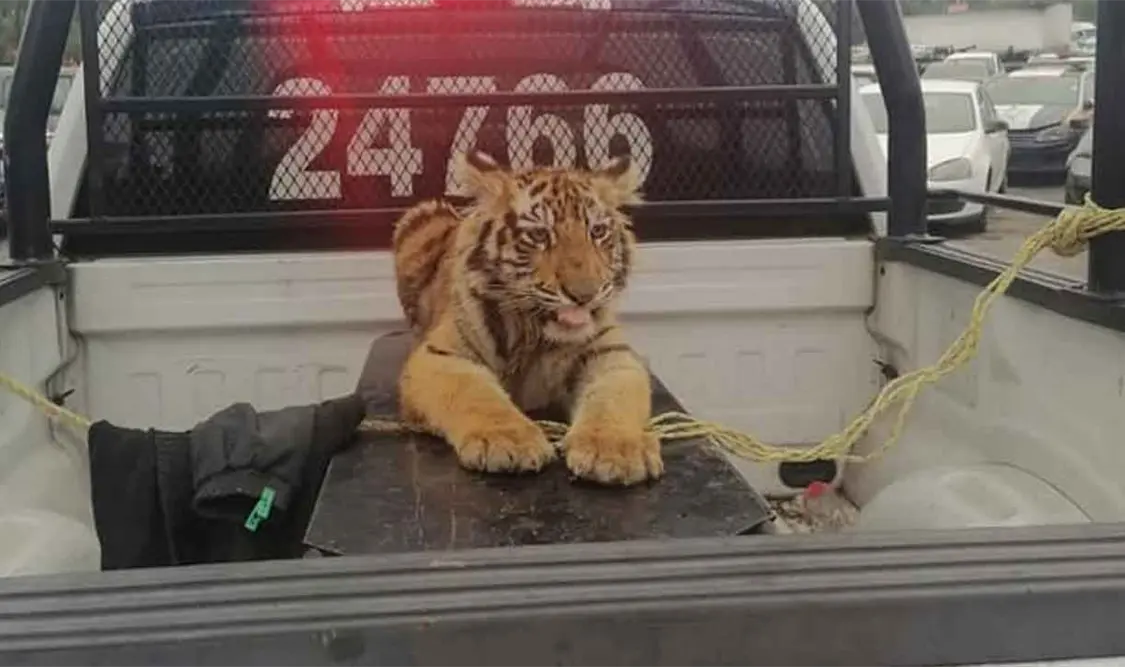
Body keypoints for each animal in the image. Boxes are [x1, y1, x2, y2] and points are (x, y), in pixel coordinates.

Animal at [390, 149, 663, 486]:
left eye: (598, 232)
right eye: (539, 235)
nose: (585, 294)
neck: (534, 332)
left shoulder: (611, 356)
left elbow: (611, 398)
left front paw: (614, 450)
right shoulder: (441, 355)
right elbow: (475, 394)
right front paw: (508, 442)